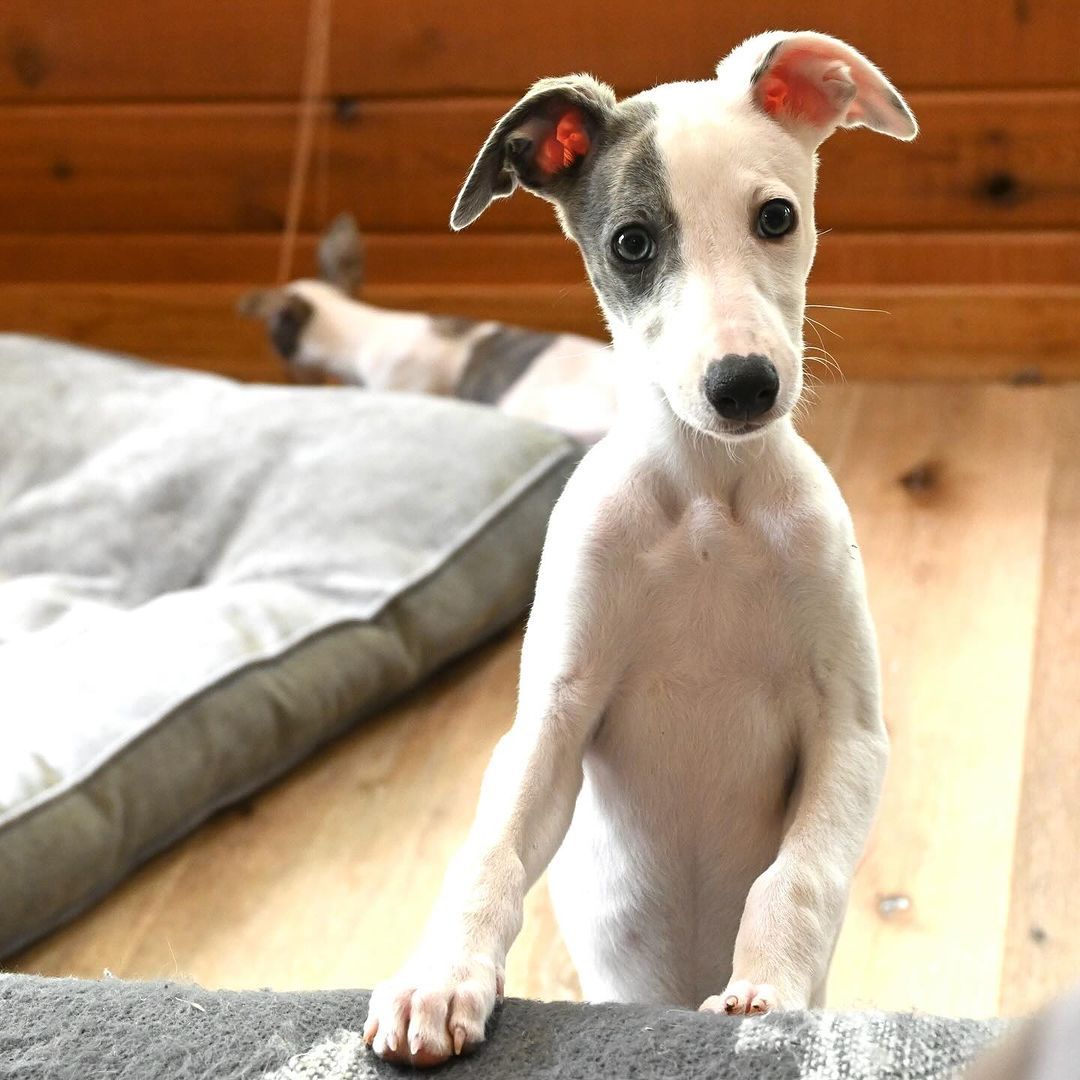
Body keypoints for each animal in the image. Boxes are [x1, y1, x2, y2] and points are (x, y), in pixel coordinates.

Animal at [360, 29, 911, 1067]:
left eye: (776, 217)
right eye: (631, 243)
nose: (743, 386)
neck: (705, 505)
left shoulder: (848, 732)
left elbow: (796, 878)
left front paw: (764, 998)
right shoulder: (553, 717)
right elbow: (491, 849)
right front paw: (440, 981)